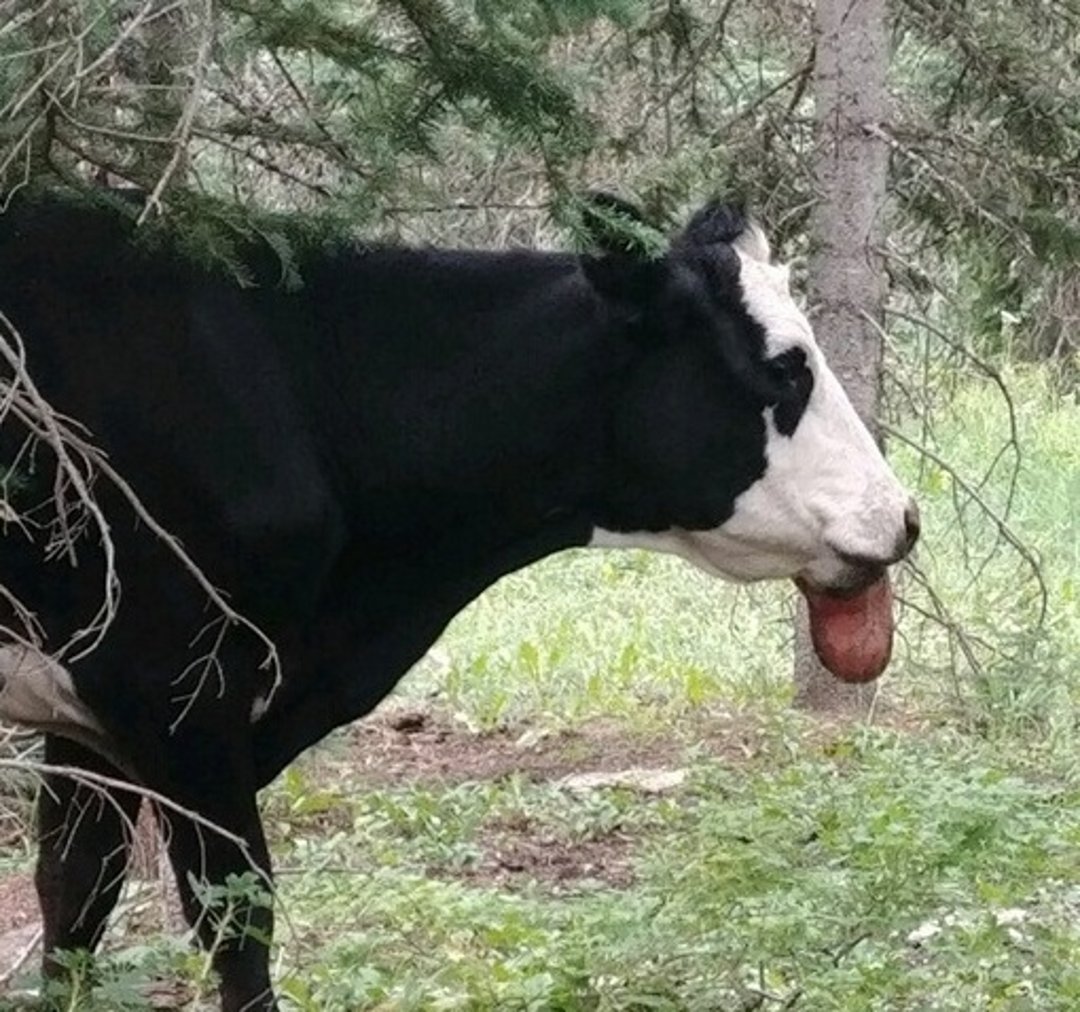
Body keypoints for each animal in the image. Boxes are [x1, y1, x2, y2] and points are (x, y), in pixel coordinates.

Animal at [0, 187, 915, 1002]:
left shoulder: (90, 708)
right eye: (784, 370)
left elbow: (74, 897)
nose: (901, 516)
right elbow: (235, 924)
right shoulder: (177, 691)